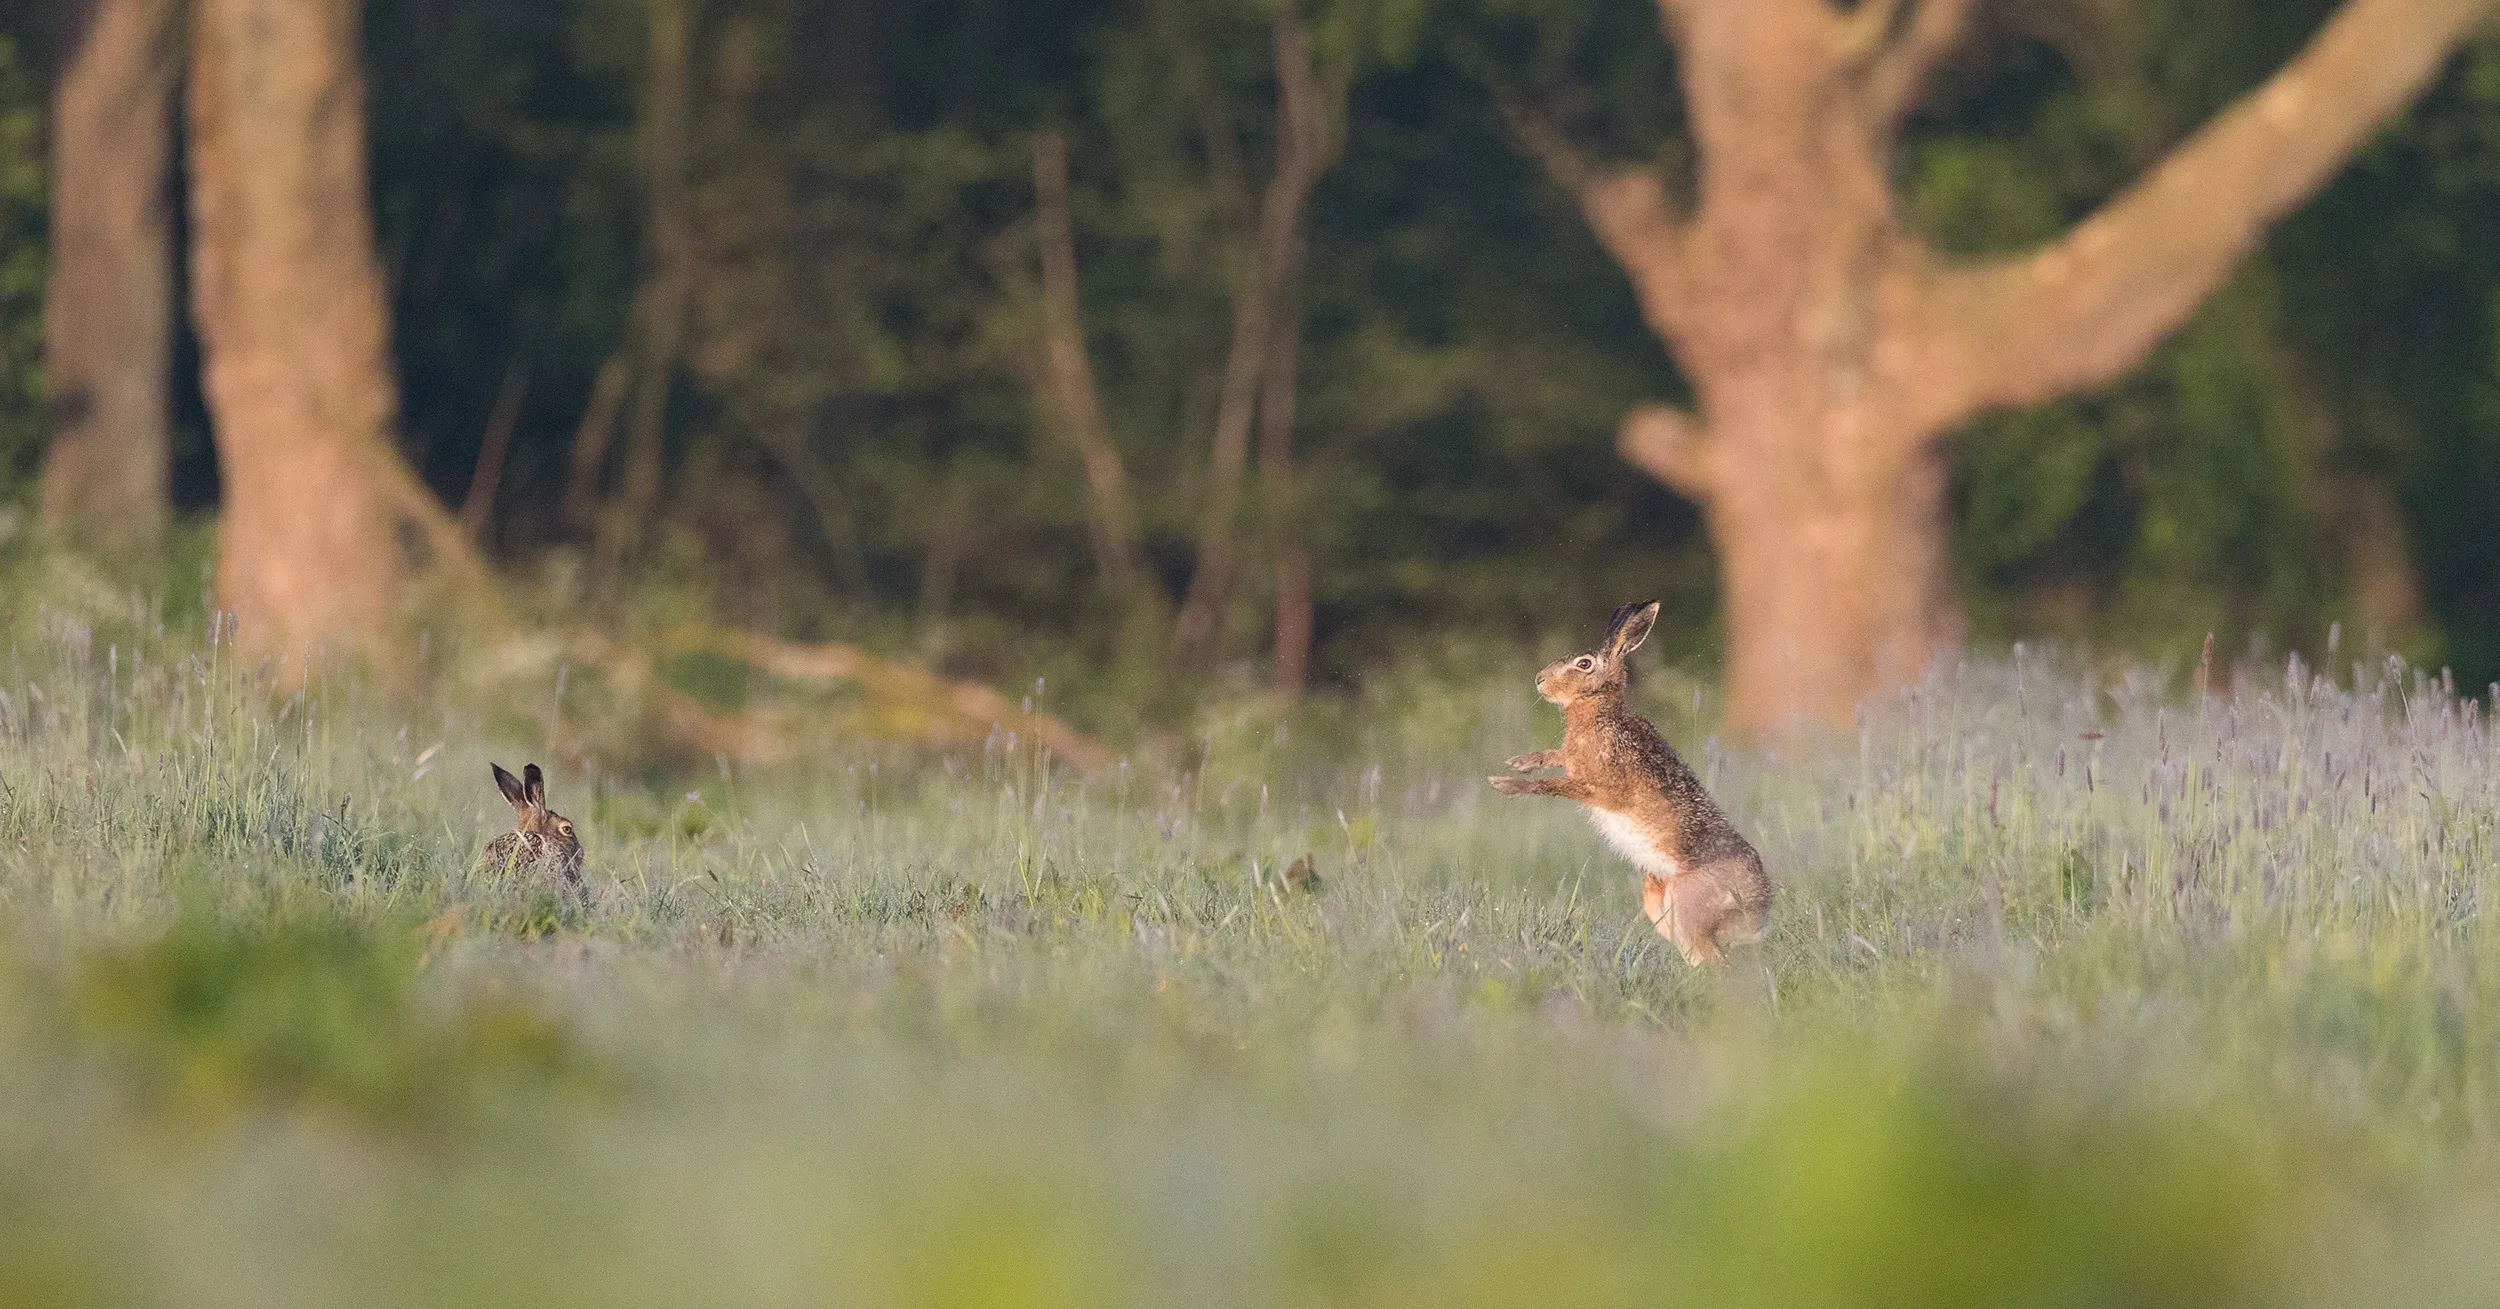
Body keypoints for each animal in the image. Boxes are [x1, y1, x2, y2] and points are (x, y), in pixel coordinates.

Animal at [1489, 602, 1771, 965]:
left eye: (1584, 664)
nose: (1540, 680)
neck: (1600, 716)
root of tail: (1758, 912)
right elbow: (1556, 757)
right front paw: (1521, 762)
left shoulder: (1602, 789)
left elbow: (1555, 786)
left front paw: (1505, 784)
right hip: (1658, 902)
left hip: (1688, 903)